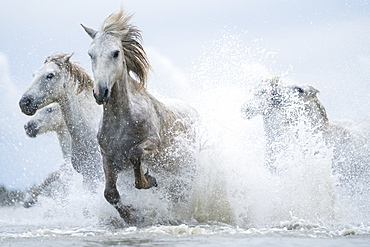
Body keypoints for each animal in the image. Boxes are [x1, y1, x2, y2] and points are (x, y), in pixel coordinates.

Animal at [81, 9, 199, 224]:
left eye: (116, 52)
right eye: (90, 54)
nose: (100, 92)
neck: (121, 122)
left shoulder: (153, 142)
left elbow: (135, 154)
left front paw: (148, 180)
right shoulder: (107, 157)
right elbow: (110, 193)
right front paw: (132, 216)